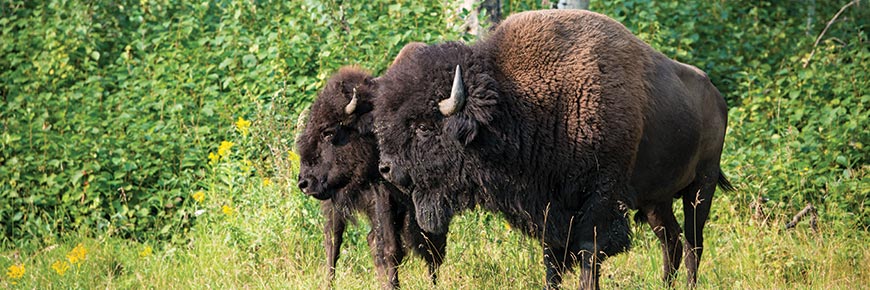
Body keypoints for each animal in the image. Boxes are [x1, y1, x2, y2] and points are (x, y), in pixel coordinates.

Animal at [300, 67, 450, 288]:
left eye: (328, 132)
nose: (304, 182)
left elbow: (432, 245)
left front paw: (433, 284)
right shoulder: (383, 196)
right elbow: (391, 249)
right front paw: (393, 285)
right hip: (333, 205)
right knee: (333, 242)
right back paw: (329, 283)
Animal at [374, 10, 736, 288]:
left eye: (423, 127)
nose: (386, 168)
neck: (523, 103)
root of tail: (717, 97)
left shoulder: (600, 199)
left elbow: (589, 252)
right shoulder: (551, 209)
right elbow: (553, 261)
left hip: (700, 187)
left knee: (692, 243)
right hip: (655, 201)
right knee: (671, 241)